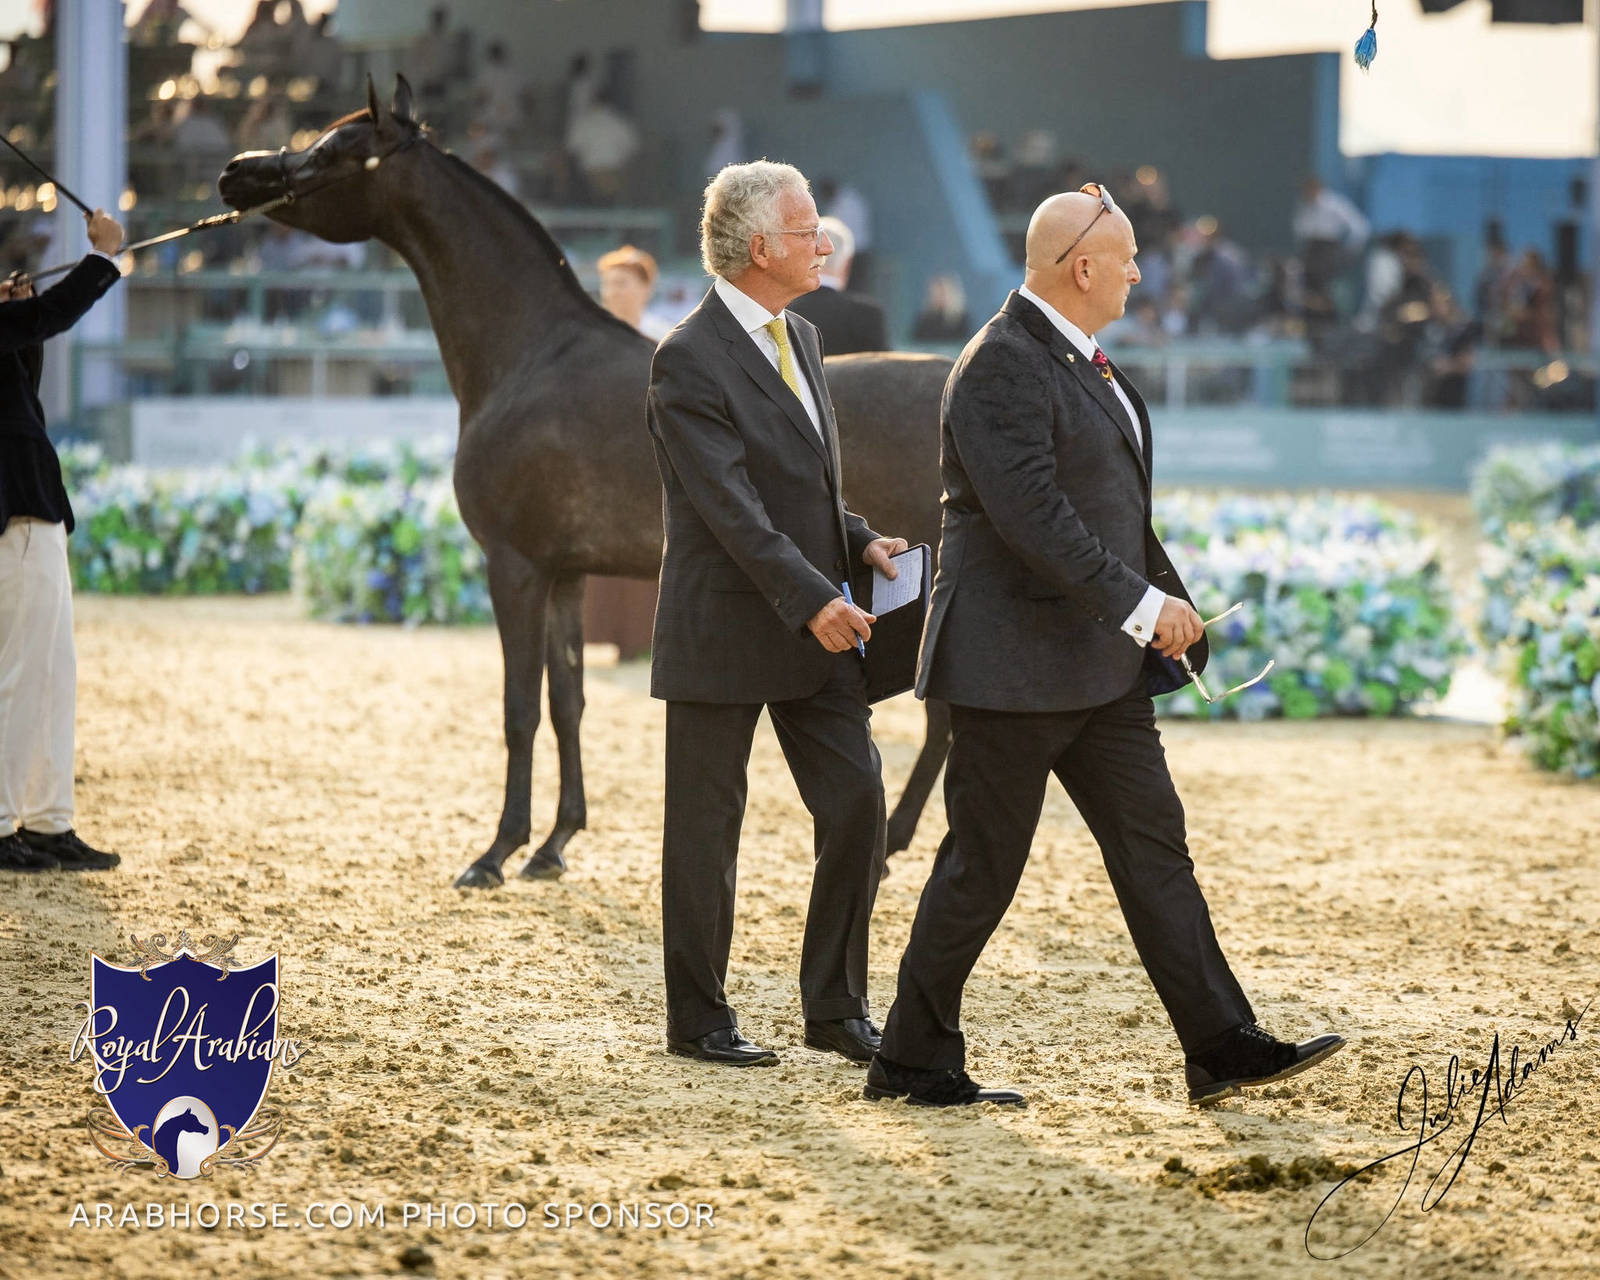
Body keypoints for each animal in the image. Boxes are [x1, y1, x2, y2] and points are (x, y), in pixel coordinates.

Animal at [218, 76, 955, 889]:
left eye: (333, 152)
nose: (237, 175)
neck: (530, 353)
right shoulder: (566, 572)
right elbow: (567, 699)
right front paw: (555, 842)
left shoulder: (514, 566)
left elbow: (519, 709)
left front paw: (496, 852)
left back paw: (892, 843)